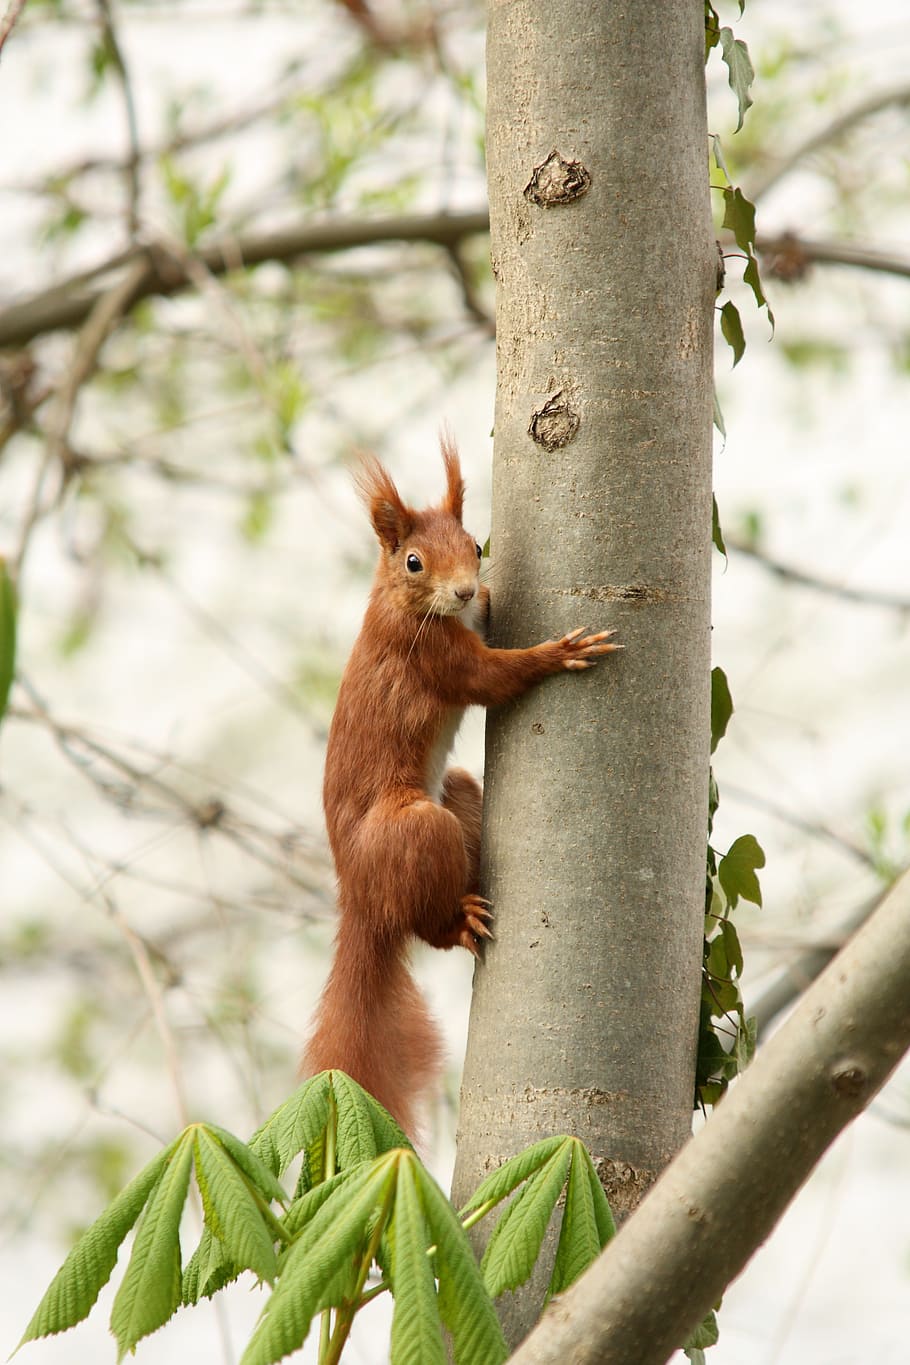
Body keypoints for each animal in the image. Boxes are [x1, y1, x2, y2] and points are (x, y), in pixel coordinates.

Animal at [302, 437, 620, 1135]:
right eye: (414, 561)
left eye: (475, 544)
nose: (466, 590)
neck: (402, 603)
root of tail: (359, 898)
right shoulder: (433, 656)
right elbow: (494, 679)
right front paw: (559, 653)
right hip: (417, 829)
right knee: (427, 924)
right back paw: (460, 921)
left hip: (458, 791)